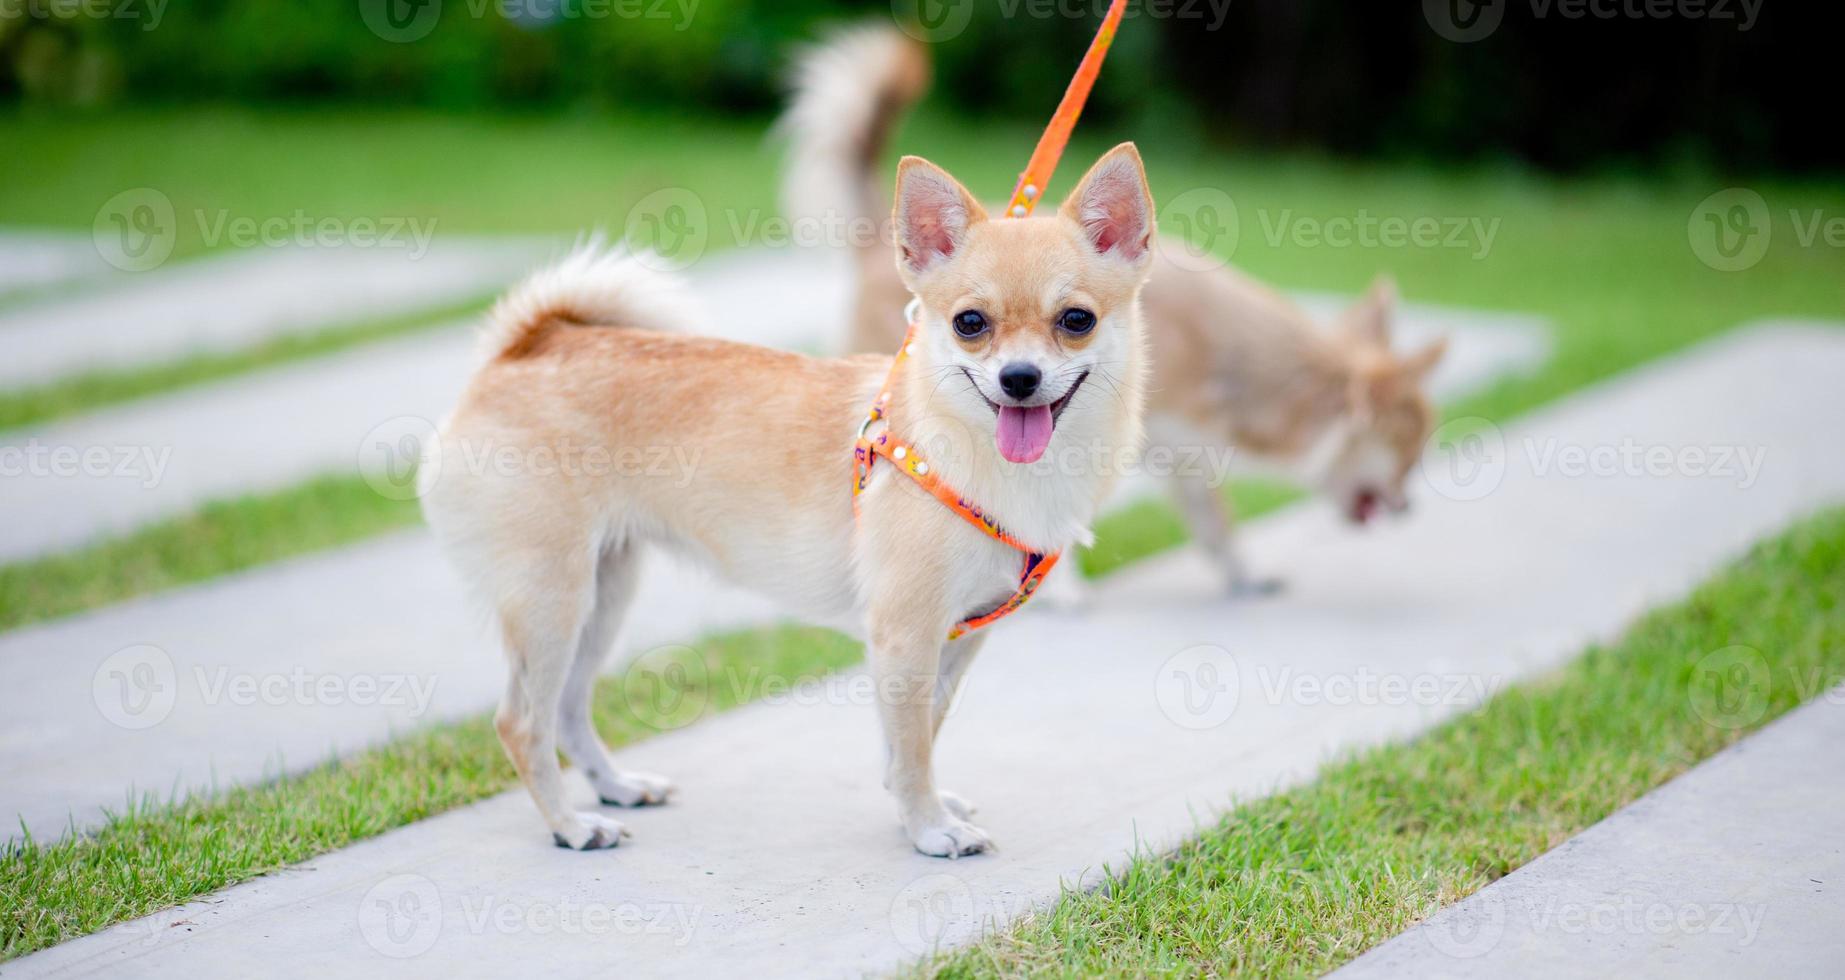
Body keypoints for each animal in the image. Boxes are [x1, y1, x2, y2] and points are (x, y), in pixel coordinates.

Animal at [424, 142, 1158, 856]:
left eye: (1076, 320)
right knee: (522, 721)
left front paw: (915, 808)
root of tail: (525, 347)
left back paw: (615, 788)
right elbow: (914, 743)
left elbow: (919, 733)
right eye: (969, 323)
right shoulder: (905, 636)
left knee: (570, 709)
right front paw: (929, 829)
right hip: (552, 599)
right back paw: (570, 826)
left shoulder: (952, 639)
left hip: (602, 594)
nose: (1019, 377)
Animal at [785, 24, 1446, 590]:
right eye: (1405, 457)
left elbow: (1213, 525)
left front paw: (1244, 577)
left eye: (1077, 319)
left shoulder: (1179, 456)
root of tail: (879, 237)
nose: (1410, 506)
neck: (1223, 360)